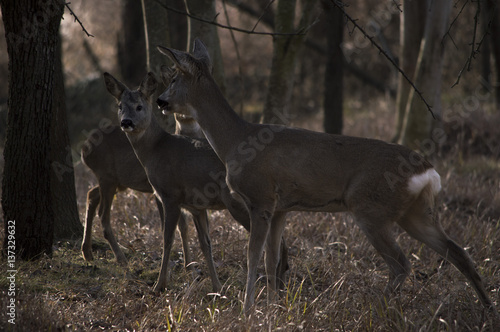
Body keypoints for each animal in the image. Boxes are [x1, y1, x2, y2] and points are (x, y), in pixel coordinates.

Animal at [102, 72, 290, 294]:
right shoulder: (196, 206)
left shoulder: (170, 195)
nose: (126, 122)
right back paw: (280, 287)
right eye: (120, 106)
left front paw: (159, 285)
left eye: (139, 106)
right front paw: (217, 287)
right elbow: (205, 243)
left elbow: (168, 239)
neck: (155, 150)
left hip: (240, 203)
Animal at [155, 39, 496, 316]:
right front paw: (273, 309)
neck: (235, 141)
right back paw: (488, 309)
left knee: (401, 262)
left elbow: (253, 257)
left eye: (174, 79)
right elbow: (272, 259)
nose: (159, 101)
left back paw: (375, 309)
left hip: (370, 207)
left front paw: (247, 309)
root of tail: (427, 170)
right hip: (414, 211)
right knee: (457, 251)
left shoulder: (260, 198)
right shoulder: (281, 208)